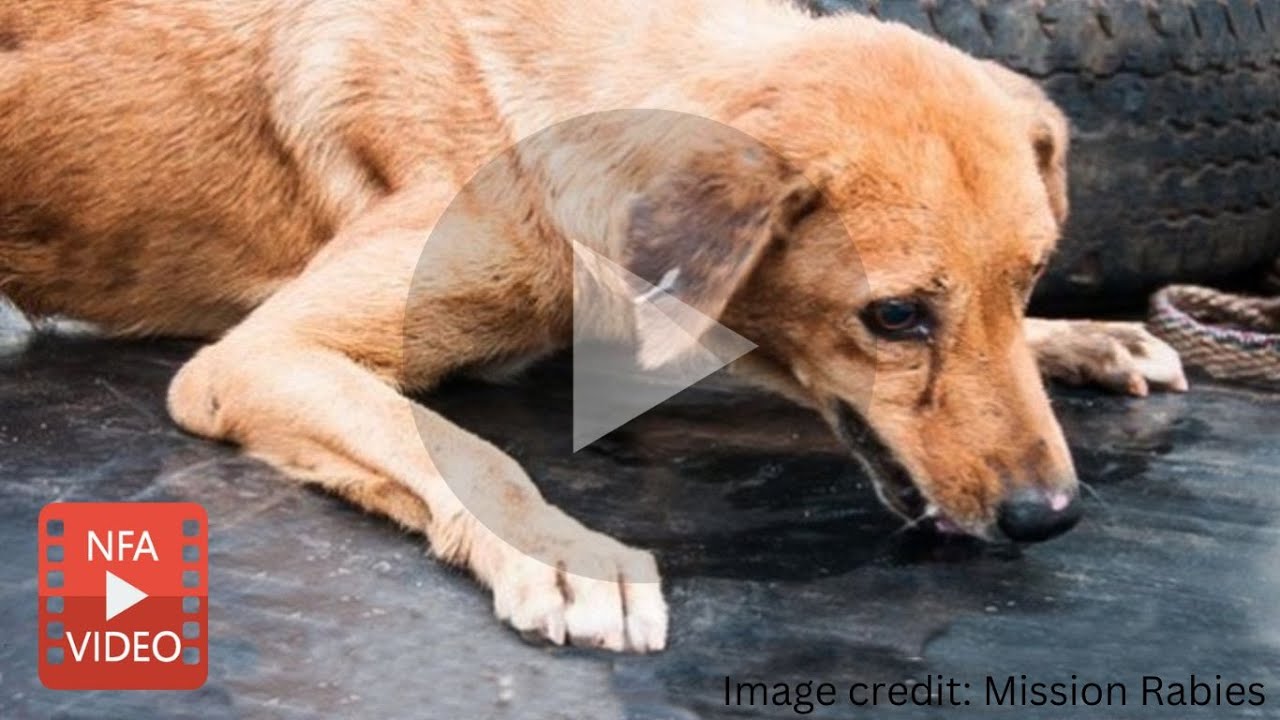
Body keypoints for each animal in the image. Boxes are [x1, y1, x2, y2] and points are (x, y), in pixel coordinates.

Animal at [0, 0, 1182, 650]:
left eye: (1028, 280)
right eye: (893, 317)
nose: (1051, 517)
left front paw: (1081, 335)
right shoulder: (255, 357)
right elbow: (477, 459)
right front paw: (568, 554)